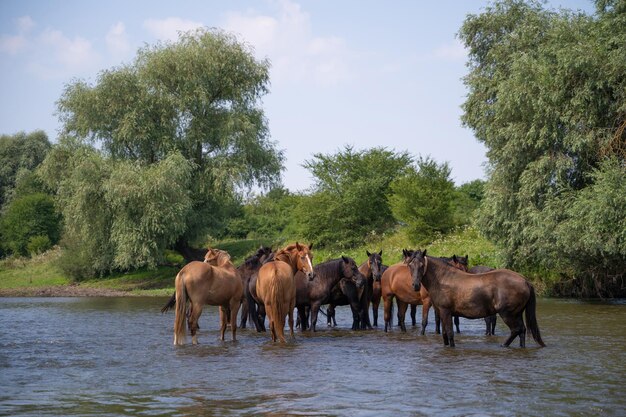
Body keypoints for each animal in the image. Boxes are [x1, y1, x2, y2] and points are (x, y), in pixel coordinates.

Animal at [402, 250, 544, 348]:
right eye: (410, 265)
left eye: (421, 265)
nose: (415, 285)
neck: (442, 279)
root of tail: (525, 280)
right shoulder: (441, 312)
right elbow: (444, 335)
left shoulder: (446, 311)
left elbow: (450, 333)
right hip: (517, 313)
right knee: (522, 331)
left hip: (507, 314)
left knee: (516, 330)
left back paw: (503, 345)